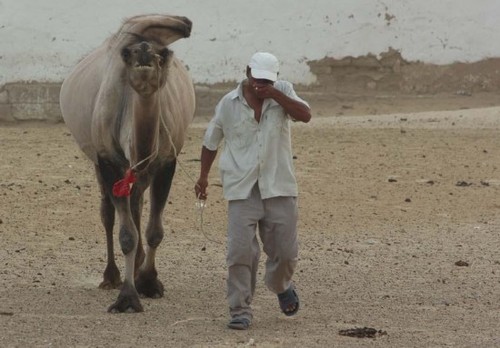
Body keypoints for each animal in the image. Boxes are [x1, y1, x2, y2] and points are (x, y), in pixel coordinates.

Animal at [59, 14, 196, 312]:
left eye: (162, 55)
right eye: (126, 54)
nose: (143, 52)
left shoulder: (166, 162)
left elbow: (154, 230)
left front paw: (149, 281)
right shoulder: (108, 160)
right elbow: (126, 234)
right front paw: (127, 297)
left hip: (141, 173)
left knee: (137, 204)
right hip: (99, 163)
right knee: (107, 212)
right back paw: (111, 276)